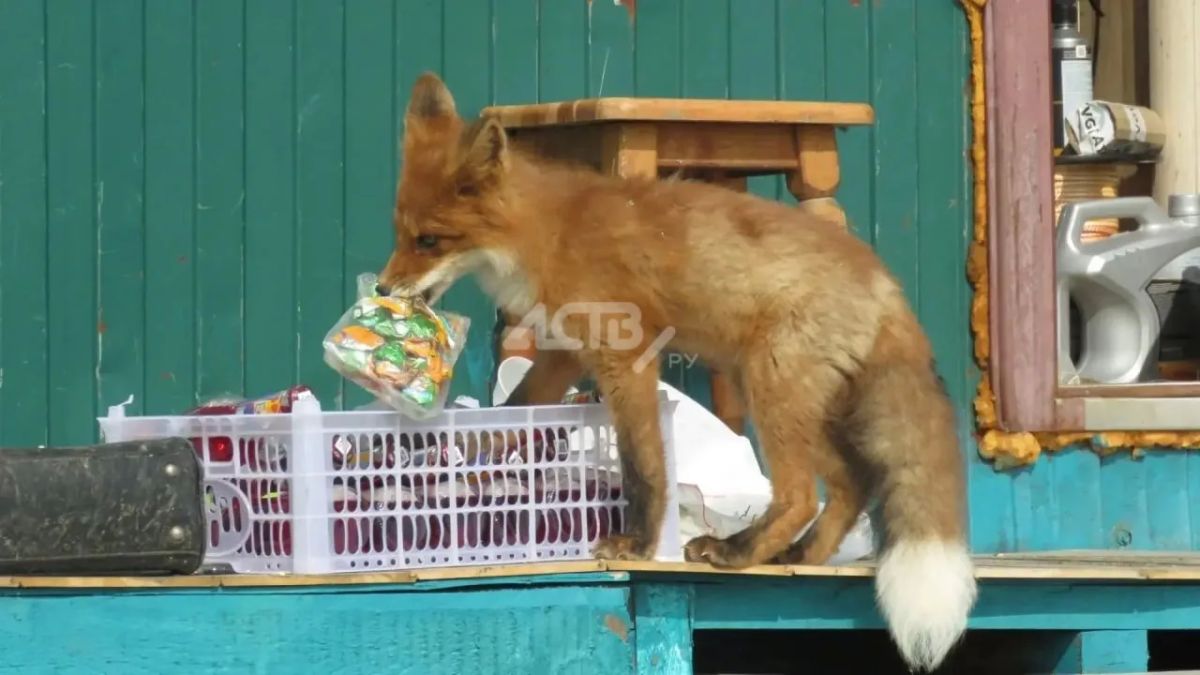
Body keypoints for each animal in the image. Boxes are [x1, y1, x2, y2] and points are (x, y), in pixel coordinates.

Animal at [376, 72, 977, 672]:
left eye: (429, 240)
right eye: (400, 234)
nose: (382, 287)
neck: (547, 236)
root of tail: (886, 283)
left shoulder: (627, 355)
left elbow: (644, 466)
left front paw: (638, 545)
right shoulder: (564, 350)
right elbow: (511, 416)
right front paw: (458, 465)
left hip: (770, 388)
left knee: (802, 495)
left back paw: (737, 551)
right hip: (789, 399)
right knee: (851, 483)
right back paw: (796, 554)